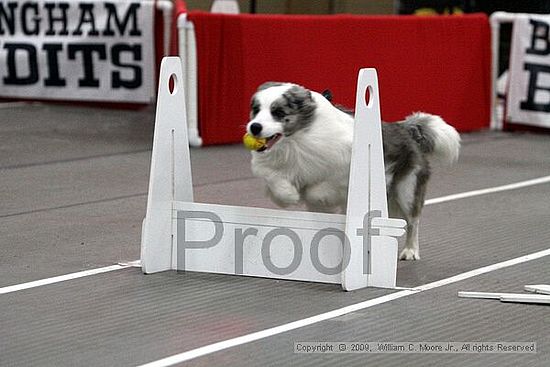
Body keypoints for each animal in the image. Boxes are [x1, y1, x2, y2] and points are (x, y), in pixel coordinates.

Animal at [247, 83, 462, 262]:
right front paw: (289, 195)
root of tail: (406, 129)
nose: (255, 127)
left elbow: (320, 188)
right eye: (256, 110)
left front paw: (310, 195)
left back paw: (410, 251)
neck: (297, 141)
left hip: (406, 189)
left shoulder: (344, 173)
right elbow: (275, 181)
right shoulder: (270, 167)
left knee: (412, 221)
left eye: (278, 112)